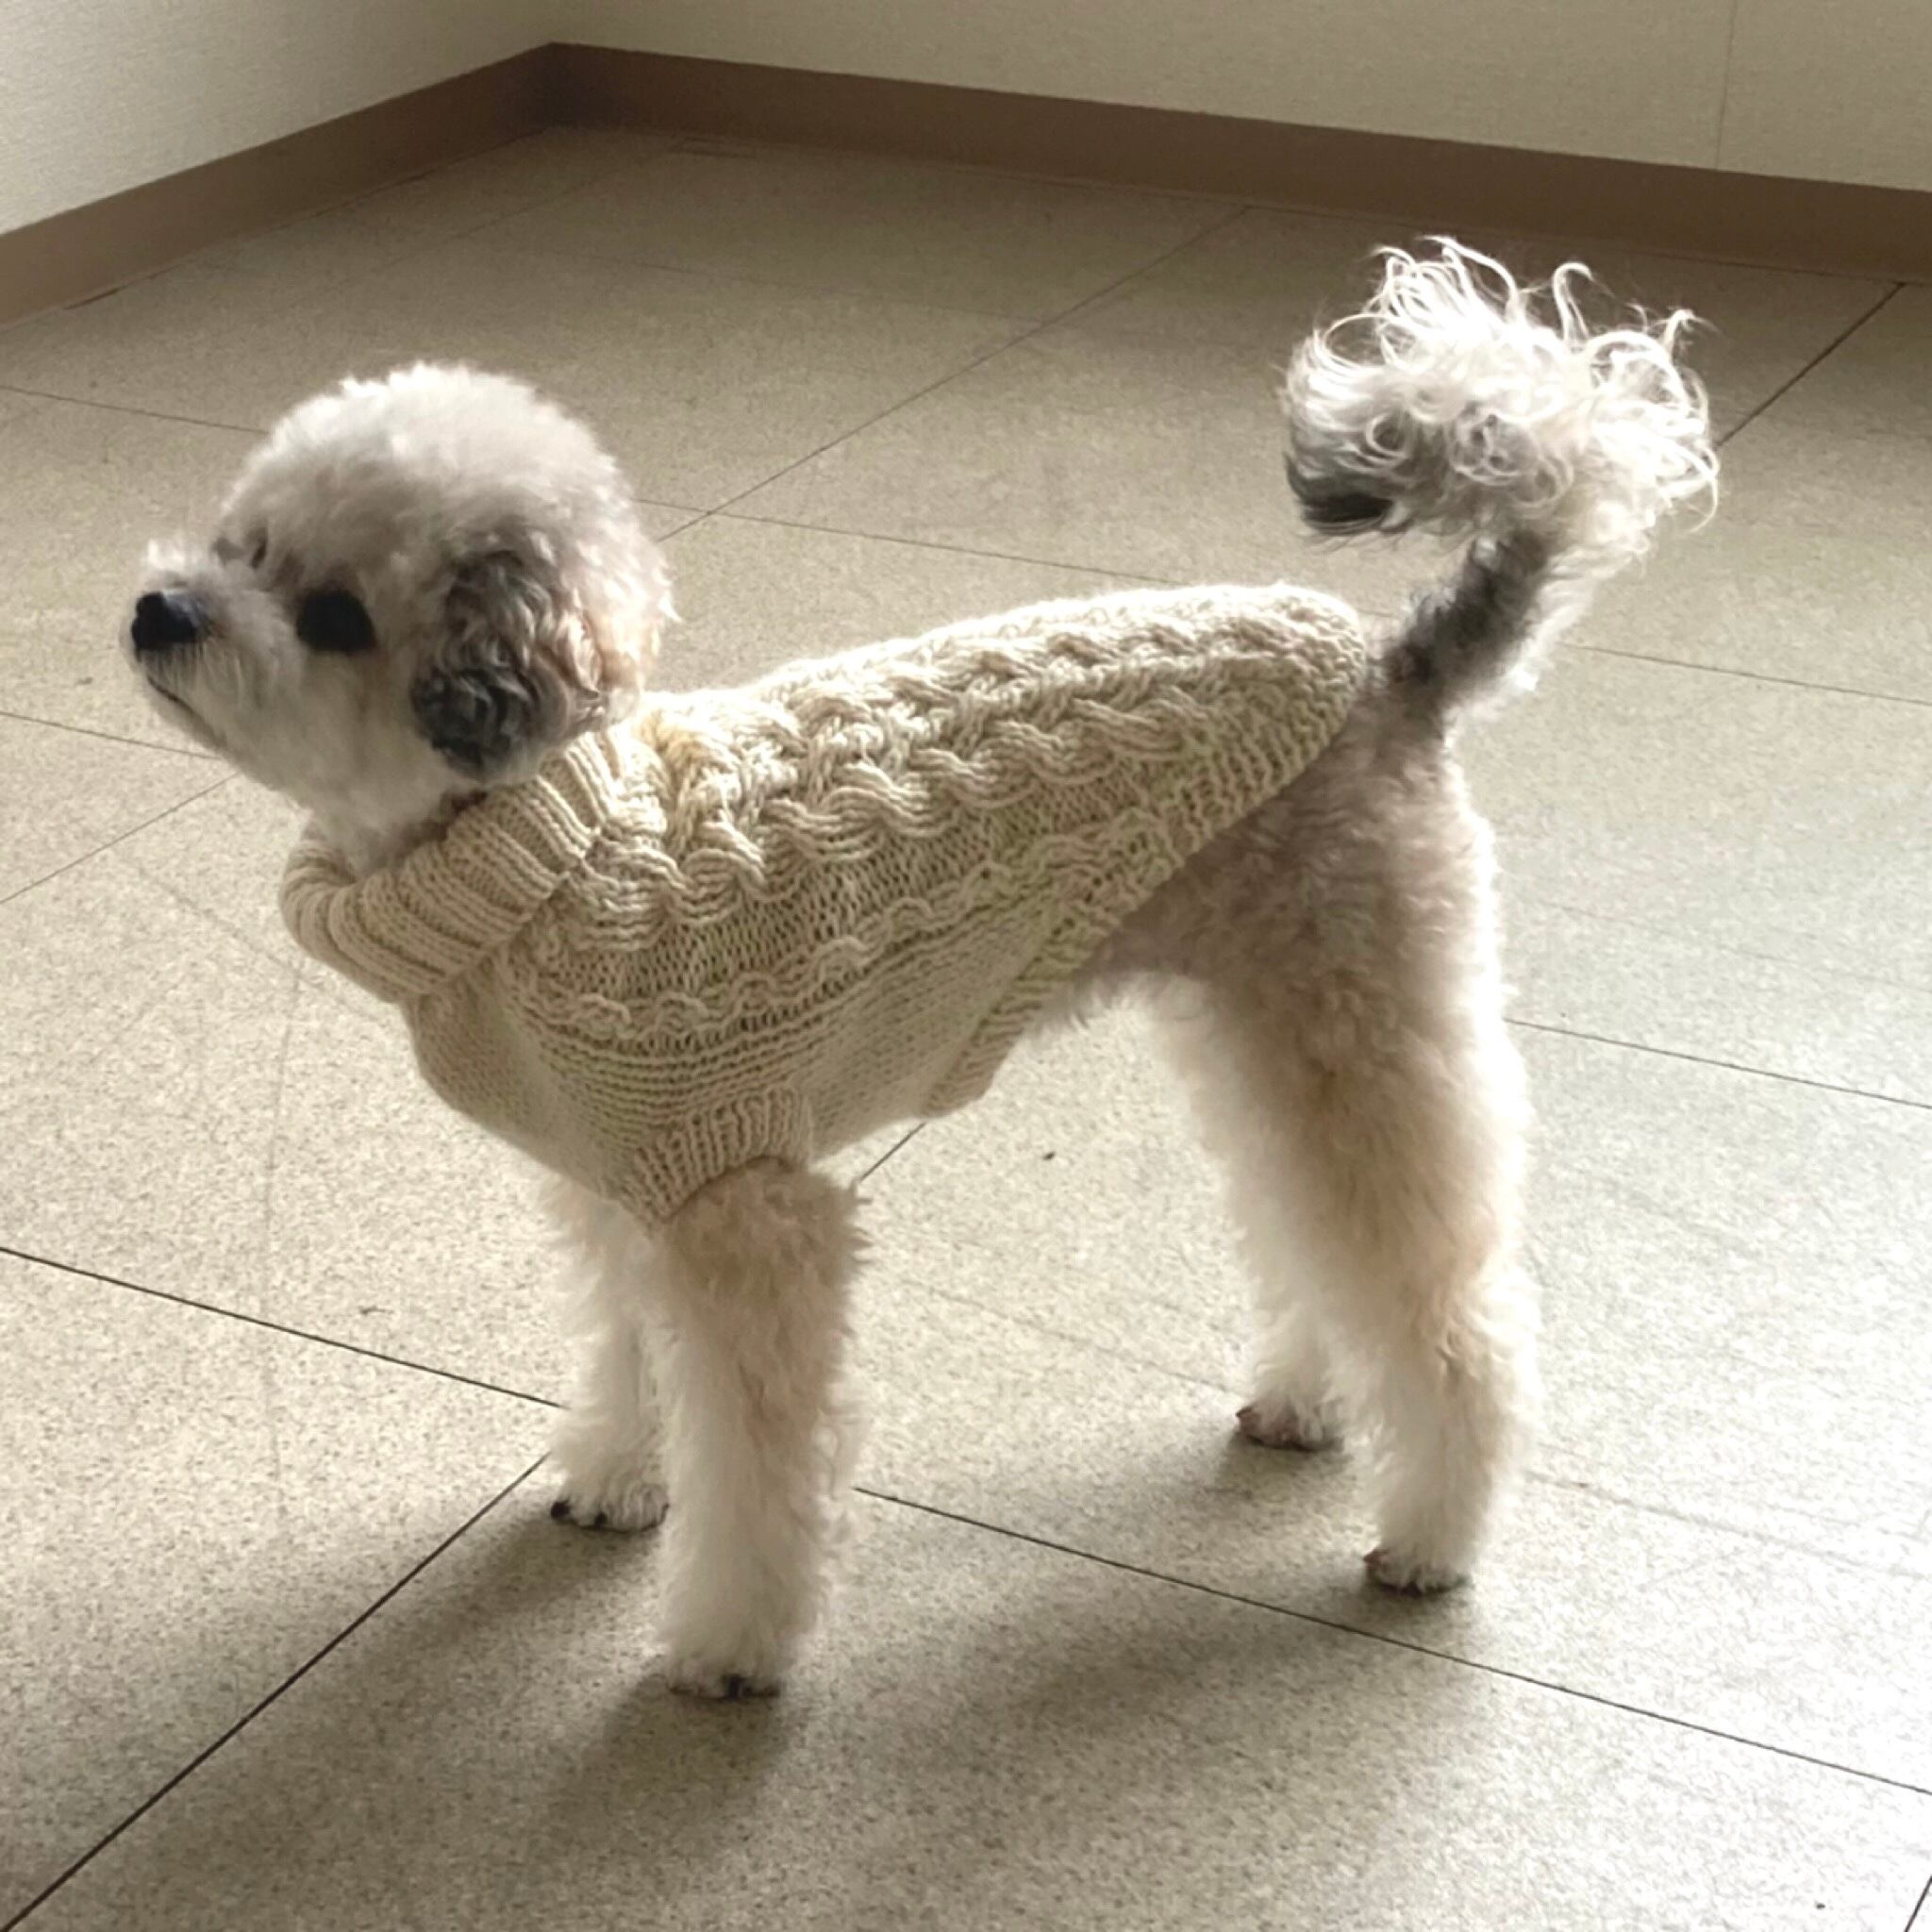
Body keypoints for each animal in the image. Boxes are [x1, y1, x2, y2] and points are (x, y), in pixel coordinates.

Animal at [126, 244, 1715, 1697]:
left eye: (336, 614)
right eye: (240, 538)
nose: (161, 611)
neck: (555, 844)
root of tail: (1393, 666)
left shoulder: (746, 1219)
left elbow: (759, 1471)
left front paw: (730, 1647)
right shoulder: (626, 1189)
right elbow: (631, 1362)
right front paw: (623, 1479)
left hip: (1360, 1024)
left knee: (1441, 1305)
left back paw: (1435, 1536)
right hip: (1269, 1023)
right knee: (1309, 1228)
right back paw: (1307, 1405)